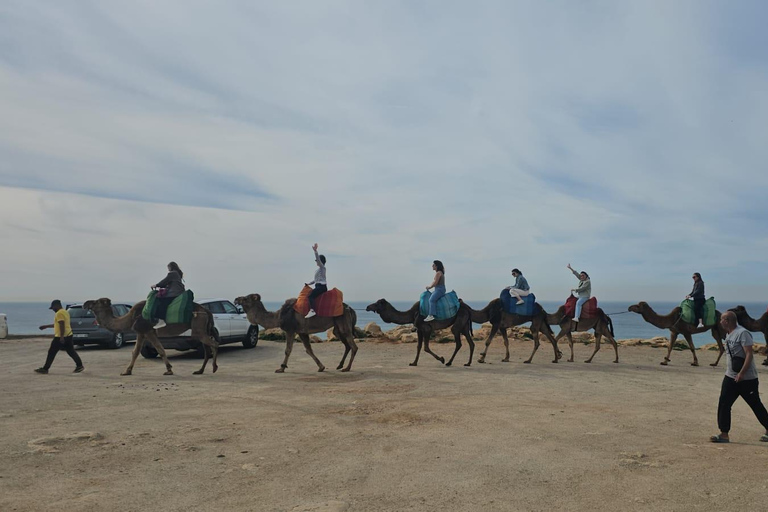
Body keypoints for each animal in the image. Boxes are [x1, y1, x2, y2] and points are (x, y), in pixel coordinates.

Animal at [82, 296, 218, 376]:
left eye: (96, 301)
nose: (85, 303)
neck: (130, 318)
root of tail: (206, 311)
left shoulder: (145, 331)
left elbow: (150, 350)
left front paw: (126, 371)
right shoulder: (146, 332)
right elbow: (145, 350)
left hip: (198, 327)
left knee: (214, 344)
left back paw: (215, 367)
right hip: (201, 328)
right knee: (207, 349)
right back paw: (200, 370)